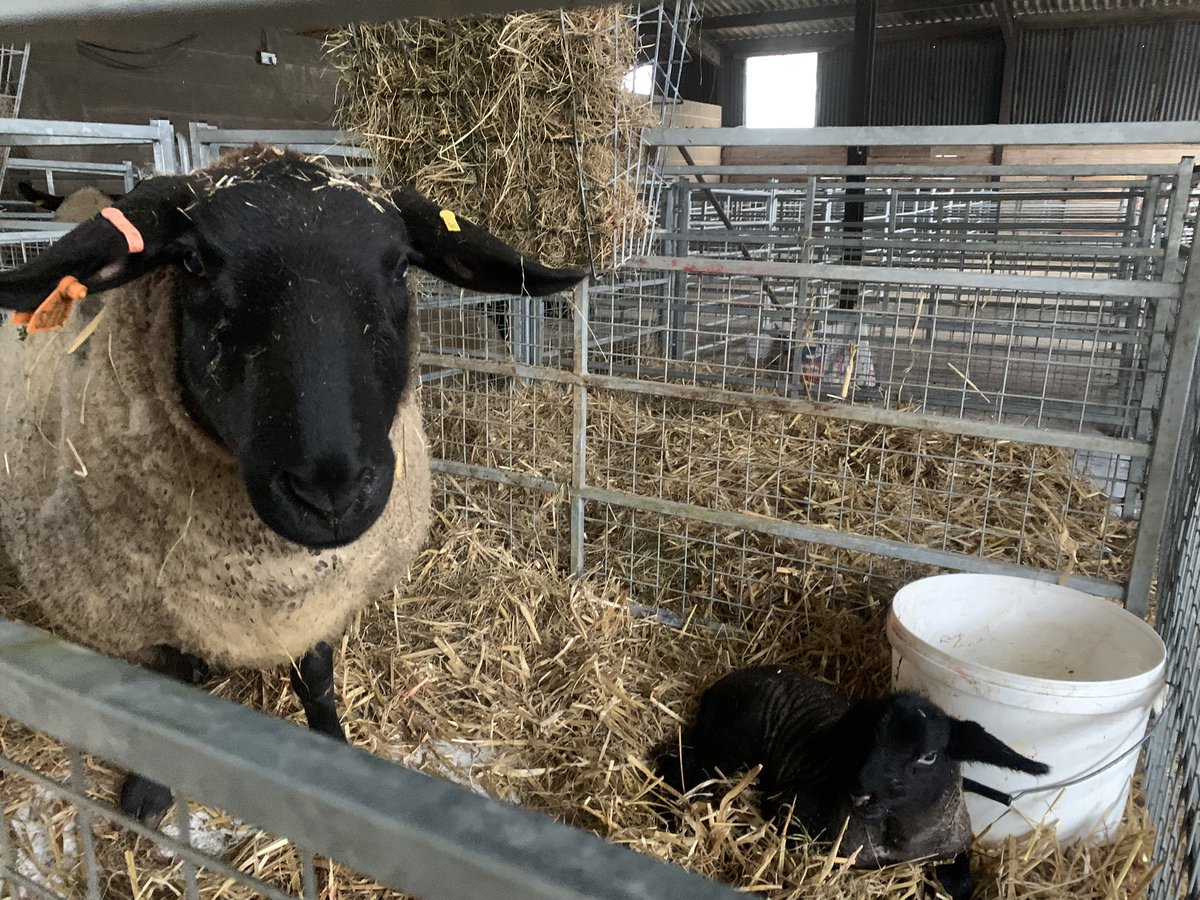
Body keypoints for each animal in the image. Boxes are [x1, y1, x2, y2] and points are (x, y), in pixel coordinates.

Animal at [0, 146, 586, 824]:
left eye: (399, 264)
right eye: (195, 262)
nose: (331, 491)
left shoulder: (323, 594)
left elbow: (318, 678)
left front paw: (330, 750)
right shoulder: (141, 607)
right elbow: (168, 679)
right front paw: (149, 788)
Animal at [654, 666, 1050, 900]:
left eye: (928, 756)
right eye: (866, 741)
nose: (859, 793)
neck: (898, 837)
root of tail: (725, 682)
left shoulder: (958, 847)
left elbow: (962, 883)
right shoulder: (794, 805)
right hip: (734, 740)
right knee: (685, 765)